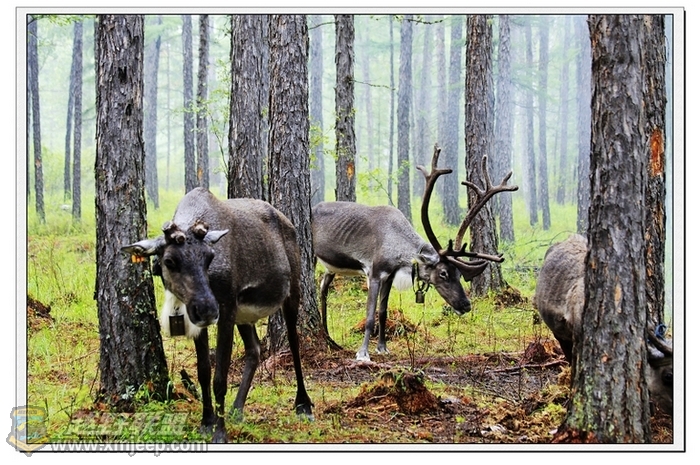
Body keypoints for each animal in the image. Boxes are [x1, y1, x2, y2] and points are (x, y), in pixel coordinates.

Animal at [121, 187, 314, 443]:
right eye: (169, 261)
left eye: (210, 257)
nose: (208, 309)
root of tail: (289, 224)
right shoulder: (199, 320)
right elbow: (203, 371)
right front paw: (206, 422)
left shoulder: (227, 309)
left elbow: (220, 377)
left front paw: (220, 432)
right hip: (244, 314)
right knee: (255, 349)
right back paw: (237, 409)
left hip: (292, 291)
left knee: (293, 341)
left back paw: (304, 404)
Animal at [312, 144, 518, 361]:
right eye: (443, 273)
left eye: (459, 273)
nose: (466, 305)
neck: (398, 249)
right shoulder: (374, 272)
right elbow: (369, 315)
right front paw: (363, 353)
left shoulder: (389, 276)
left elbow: (383, 312)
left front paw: (383, 347)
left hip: (330, 267)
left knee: (323, 289)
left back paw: (328, 337)